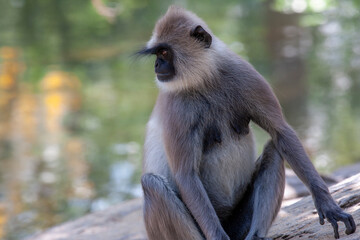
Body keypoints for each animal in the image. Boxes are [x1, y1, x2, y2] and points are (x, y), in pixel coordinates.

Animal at [136, 5, 356, 240]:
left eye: (164, 53)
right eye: (158, 54)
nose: (157, 65)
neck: (205, 80)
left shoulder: (246, 76)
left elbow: (281, 133)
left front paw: (327, 205)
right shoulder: (176, 106)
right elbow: (186, 174)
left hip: (238, 224)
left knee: (274, 148)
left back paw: (256, 235)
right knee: (152, 183)